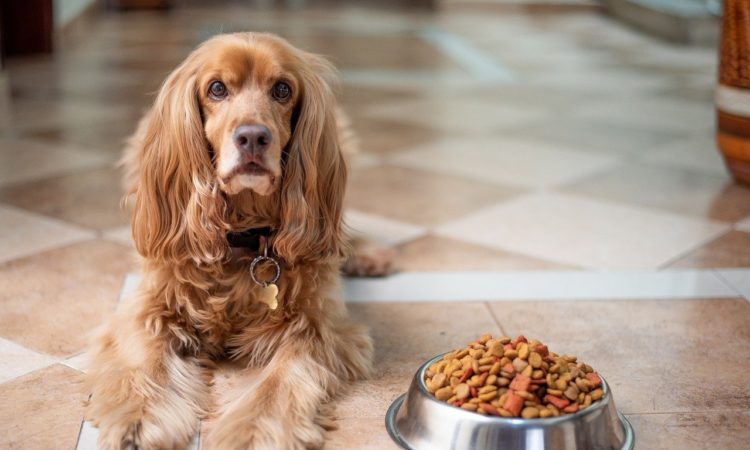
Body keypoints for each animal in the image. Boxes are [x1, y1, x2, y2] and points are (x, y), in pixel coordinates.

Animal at [85, 32, 384, 450]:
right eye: (217, 88)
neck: (243, 237)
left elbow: (279, 384)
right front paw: (137, 419)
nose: (253, 137)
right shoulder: (149, 308)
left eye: (282, 89)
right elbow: (146, 361)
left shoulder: (316, 327)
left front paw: (254, 433)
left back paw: (367, 255)